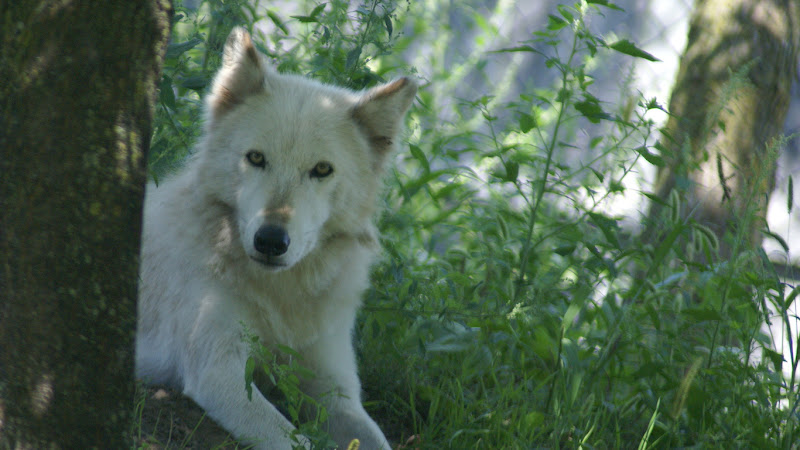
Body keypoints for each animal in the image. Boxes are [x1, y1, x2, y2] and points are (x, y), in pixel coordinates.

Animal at [135, 27, 416, 449]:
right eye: (255, 158)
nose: (270, 240)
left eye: (321, 169)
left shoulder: (337, 390)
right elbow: (294, 441)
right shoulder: (221, 373)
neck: (281, 296)